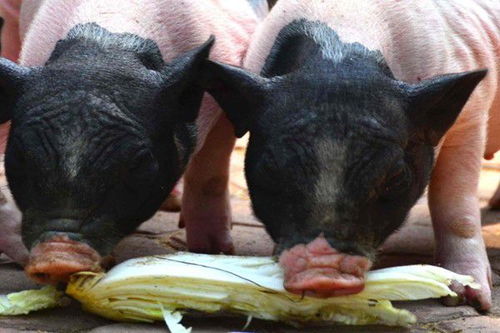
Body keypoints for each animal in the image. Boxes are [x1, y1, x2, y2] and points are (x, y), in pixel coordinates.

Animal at [0, 0, 266, 284]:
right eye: (19, 156)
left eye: (139, 163)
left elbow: (210, 172)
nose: (59, 258)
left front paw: (214, 250)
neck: (108, 46)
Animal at [201, 0, 498, 310]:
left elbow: (456, 209)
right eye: (270, 169)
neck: (339, 56)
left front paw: (471, 300)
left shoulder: (471, 117)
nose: (322, 274)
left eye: (396, 177)